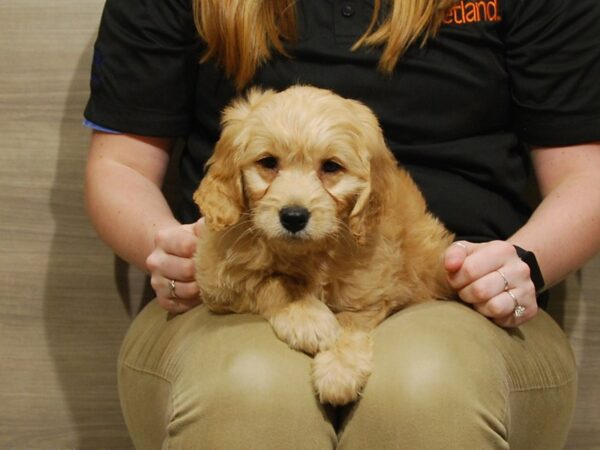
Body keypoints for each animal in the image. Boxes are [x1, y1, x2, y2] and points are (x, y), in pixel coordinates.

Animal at [195, 84, 452, 404]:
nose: (293, 217)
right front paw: (309, 319)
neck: (307, 254)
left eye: (331, 167)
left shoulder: (373, 291)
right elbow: (271, 281)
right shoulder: (216, 276)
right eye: (268, 162)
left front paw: (339, 370)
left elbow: (351, 321)